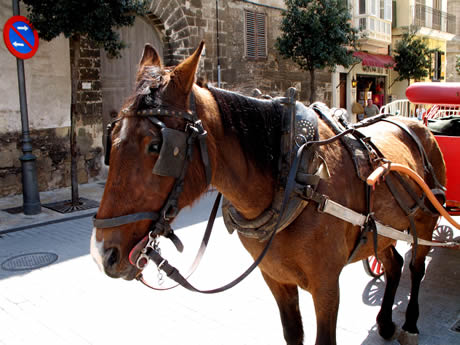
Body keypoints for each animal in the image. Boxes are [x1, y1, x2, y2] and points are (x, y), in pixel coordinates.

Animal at [90, 43, 446, 344]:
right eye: (112, 140)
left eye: (156, 147)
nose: (103, 254)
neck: (292, 178)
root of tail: (414, 122)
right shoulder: (275, 278)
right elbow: (293, 334)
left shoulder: (326, 285)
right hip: (382, 231)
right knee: (393, 264)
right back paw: (385, 322)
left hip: (426, 220)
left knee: (416, 267)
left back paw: (410, 324)